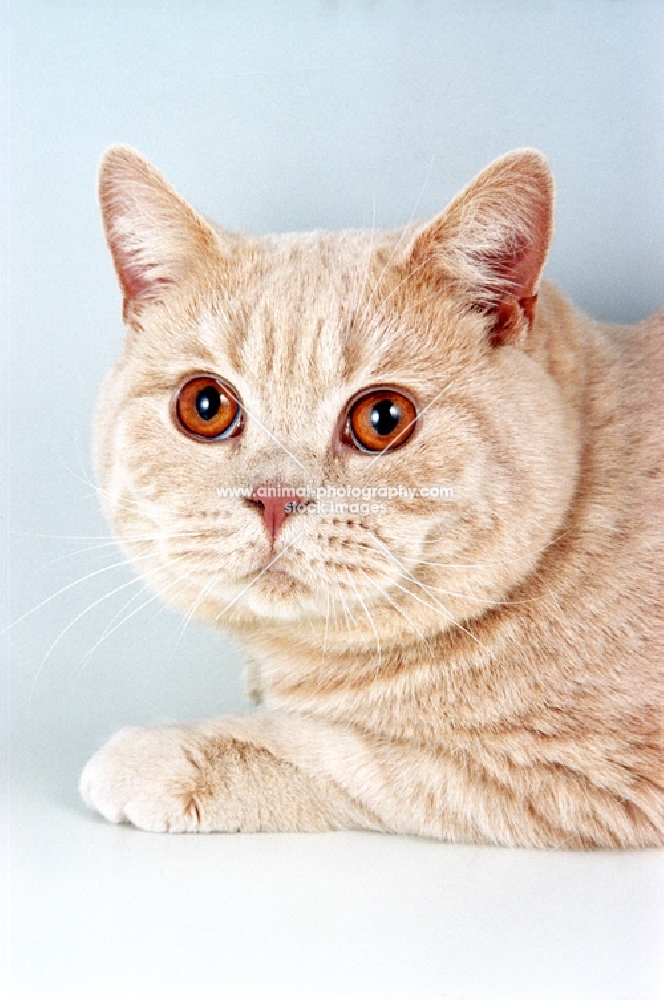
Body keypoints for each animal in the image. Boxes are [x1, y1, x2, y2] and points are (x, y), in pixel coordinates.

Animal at [79, 145, 664, 844]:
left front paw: (160, 755)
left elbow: (345, 754)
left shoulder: (575, 773)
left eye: (383, 418)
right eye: (205, 406)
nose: (274, 499)